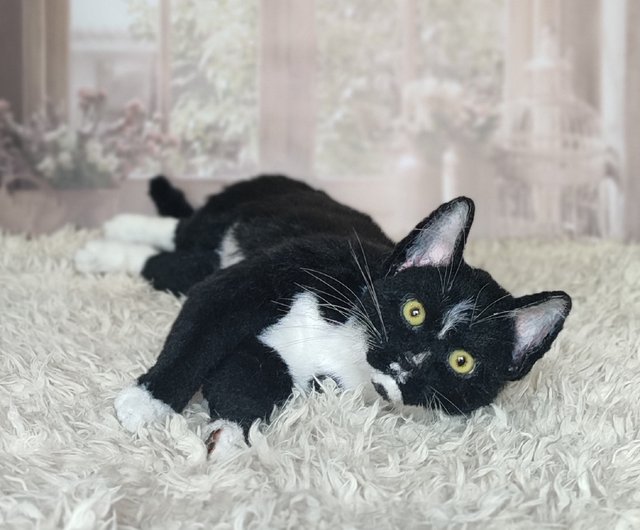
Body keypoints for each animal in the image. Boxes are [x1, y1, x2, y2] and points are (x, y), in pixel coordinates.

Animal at [74, 175, 568, 452]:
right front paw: (149, 401)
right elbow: (207, 320)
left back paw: (109, 248)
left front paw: (229, 439)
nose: (406, 364)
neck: (349, 338)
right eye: (413, 311)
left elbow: (246, 379)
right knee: (184, 235)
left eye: (462, 362)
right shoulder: (288, 268)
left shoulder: (294, 368)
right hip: (236, 219)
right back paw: (115, 233)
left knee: (180, 265)